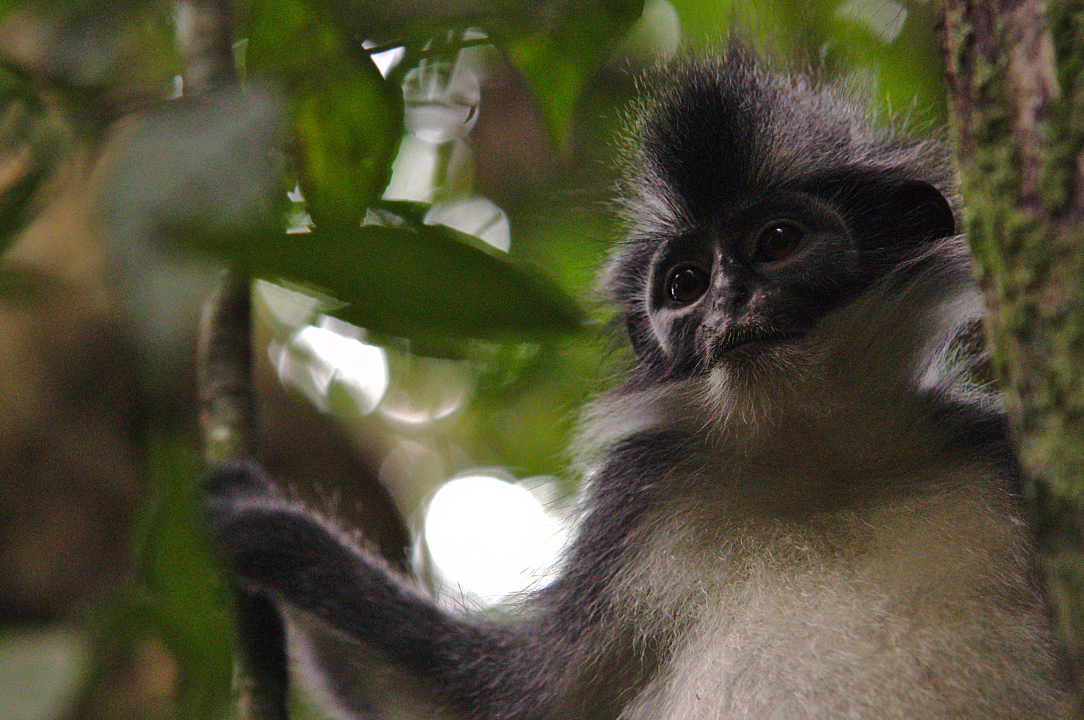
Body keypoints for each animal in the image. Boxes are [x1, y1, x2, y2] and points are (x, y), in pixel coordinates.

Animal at [205, 45, 1073, 720]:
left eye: (778, 241)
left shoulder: (988, 445)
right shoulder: (641, 501)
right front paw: (265, 529)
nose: (728, 305)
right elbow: (498, 703)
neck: (827, 463)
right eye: (685, 285)